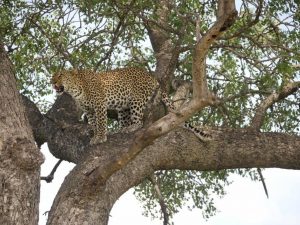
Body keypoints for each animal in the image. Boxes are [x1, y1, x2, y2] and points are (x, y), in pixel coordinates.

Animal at [51, 67, 211, 144]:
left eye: (60, 75)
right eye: (53, 76)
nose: (51, 82)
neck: (76, 89)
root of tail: (152, 77)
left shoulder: (99, 105)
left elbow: (101, 122)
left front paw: (101, 137)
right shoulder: (89, 110)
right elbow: (93, 124)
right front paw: (95, 136)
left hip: (136, 101)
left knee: (139, 122)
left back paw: (131, 128)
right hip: (123, 106)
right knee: (125, 120)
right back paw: (122, 129)